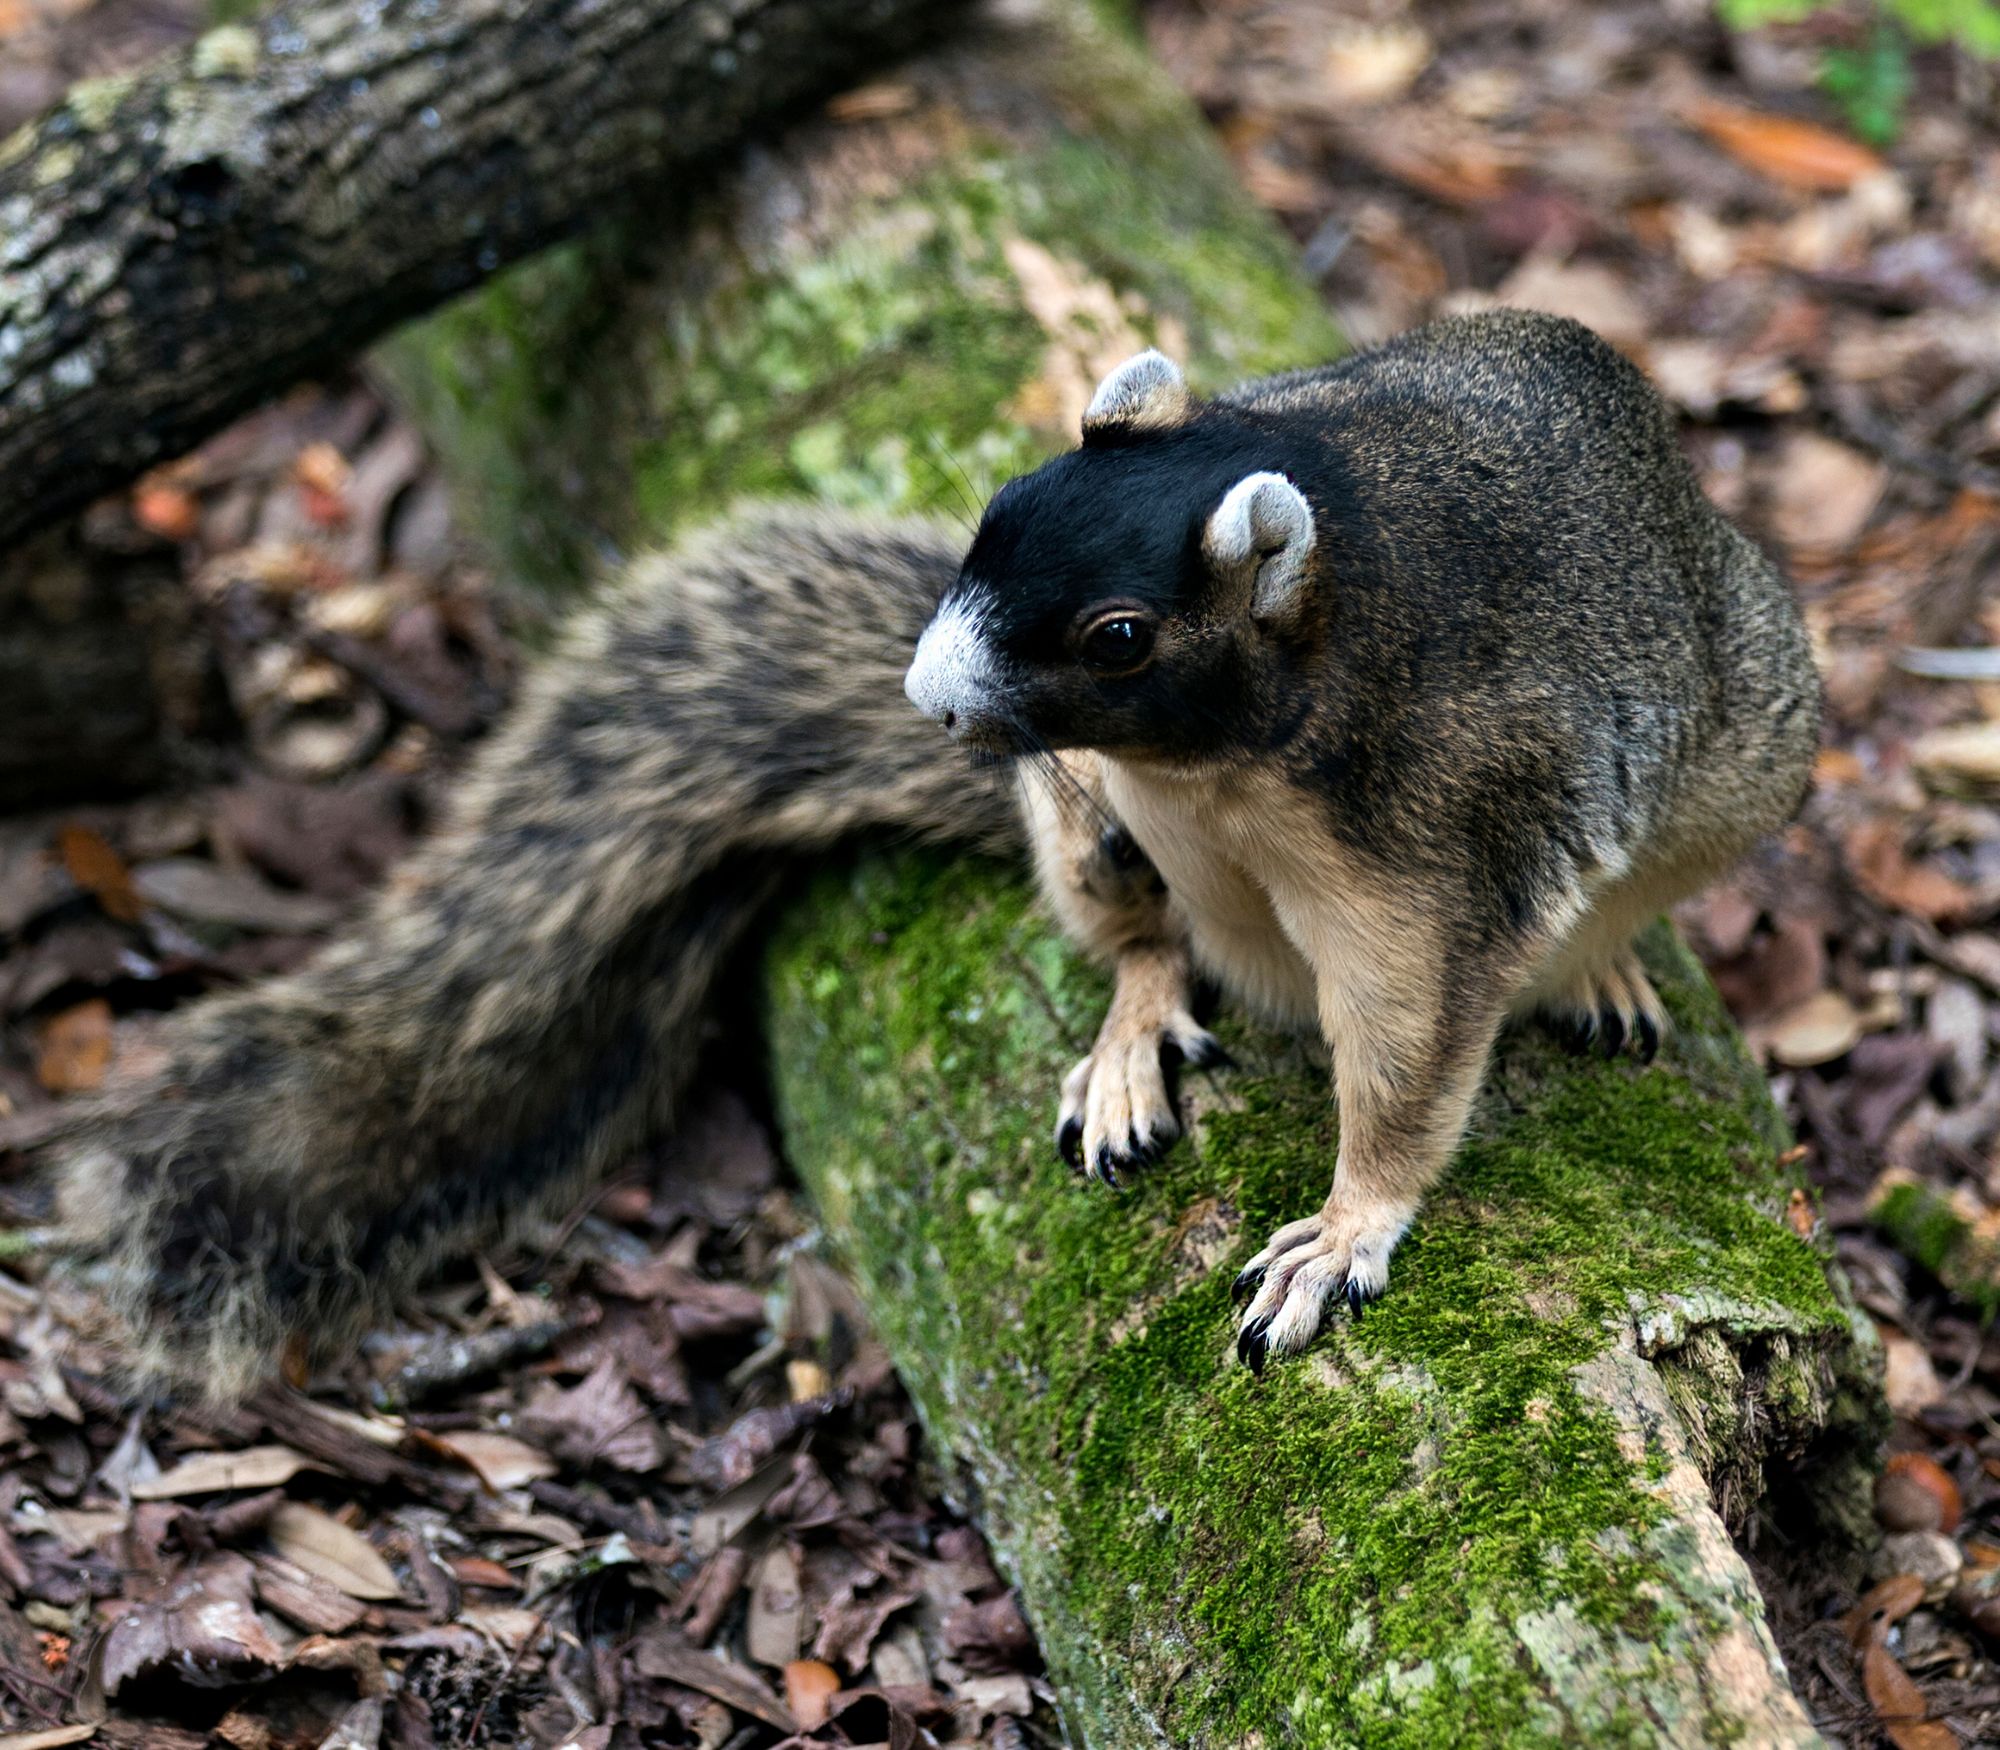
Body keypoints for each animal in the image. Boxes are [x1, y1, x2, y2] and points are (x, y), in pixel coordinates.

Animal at [62, 308, 1824, 1392]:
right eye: (991, 511)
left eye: (1119, 635)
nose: (927, 693)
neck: (1225, 769)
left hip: (1744, 758)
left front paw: (1342, 1232)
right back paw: (1133, 1030)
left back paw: (1602, 966)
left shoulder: (1443, 855)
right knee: (1138, 933)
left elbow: (1406, 1070)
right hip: (1091, 837)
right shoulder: (1114, 784)